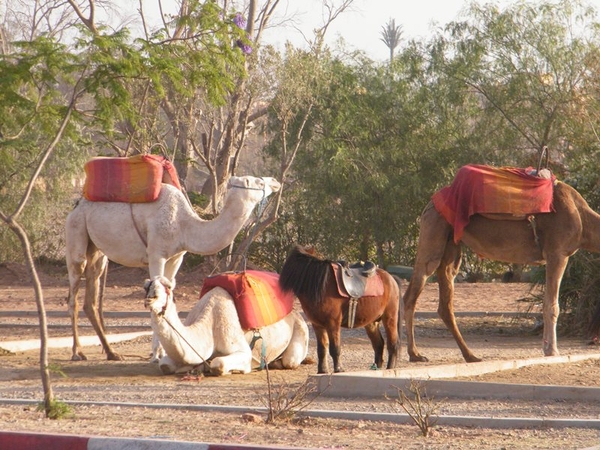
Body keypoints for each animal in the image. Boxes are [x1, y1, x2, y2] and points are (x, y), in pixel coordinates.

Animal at [65, 176, 282, 362]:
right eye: (258, 181)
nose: (275, 182)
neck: (185, 225)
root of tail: (77, 206)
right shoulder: (156, 254)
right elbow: (155, 287)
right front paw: (155, 355)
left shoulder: (177, 257)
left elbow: (169, 288)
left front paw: (162, 351)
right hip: (76, 231)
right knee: (74, 291)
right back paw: (77, 353)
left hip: (98, 251)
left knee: (91, 295)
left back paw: (112, 353)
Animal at [144, 276, 310, 374]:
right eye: (147, 288)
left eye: (166, 289)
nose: (149, 300)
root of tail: (295, 313)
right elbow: (165, 365)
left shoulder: (243, 351)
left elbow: (219, 364)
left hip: (300, 328)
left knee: (290, 361)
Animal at [278, 244, 400, 374]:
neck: (322, 287)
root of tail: (391, 278)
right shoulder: (318, 325)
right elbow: (322, 349)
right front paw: (322, 370)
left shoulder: (333, 323)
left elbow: (335, 348)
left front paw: (339, 369)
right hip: (371, 323)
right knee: (379, 344)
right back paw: (376, 369)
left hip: (390, 318)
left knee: (392, 344)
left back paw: (390, 368)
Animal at [400, 179, 600, 362]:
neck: (582, 219)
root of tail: (429, 204)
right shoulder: (557, 253)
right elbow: (551, 304)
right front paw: (551, 351)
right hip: (433, 230)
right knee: (413, 291)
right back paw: (415, 354)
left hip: (452, 243)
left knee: (445, 300)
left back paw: (470, 355)